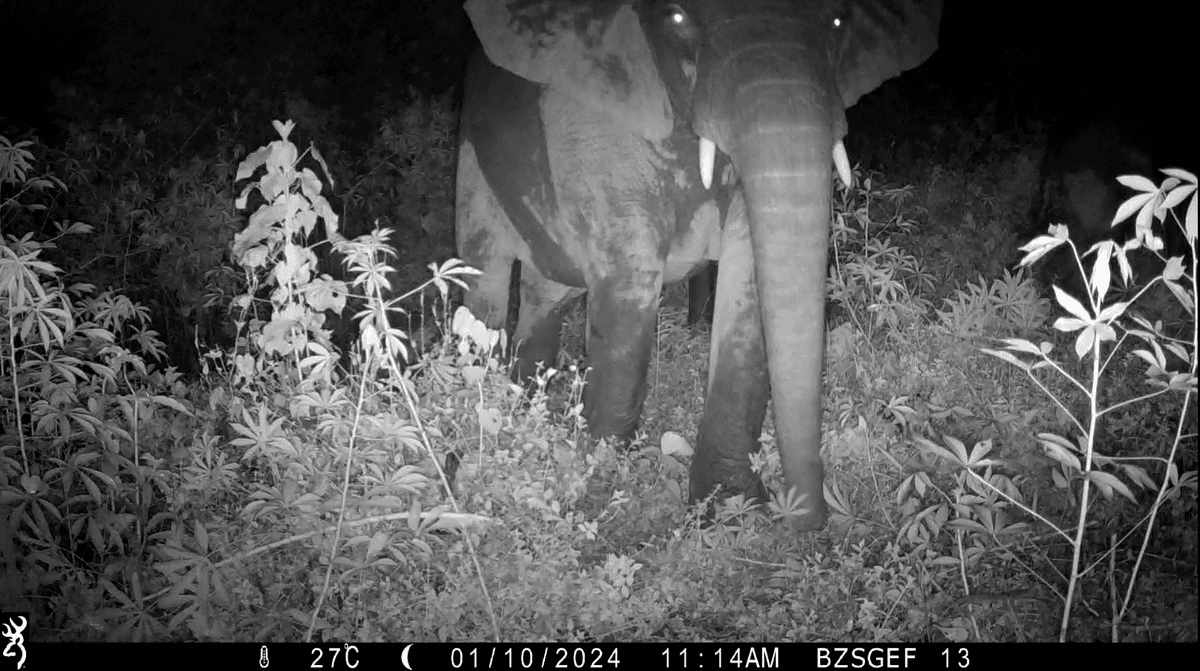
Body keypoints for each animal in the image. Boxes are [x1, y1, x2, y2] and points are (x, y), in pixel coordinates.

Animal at [455, 0, 942, 531]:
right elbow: (630, 276)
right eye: (677, 19)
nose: (809, 523)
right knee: (484, 280)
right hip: (472, 157)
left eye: (837, 23)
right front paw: (602, 487)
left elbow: (747, 278)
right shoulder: (589, 115)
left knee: (546, 294)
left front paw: (730, 512)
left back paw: (526, 408)